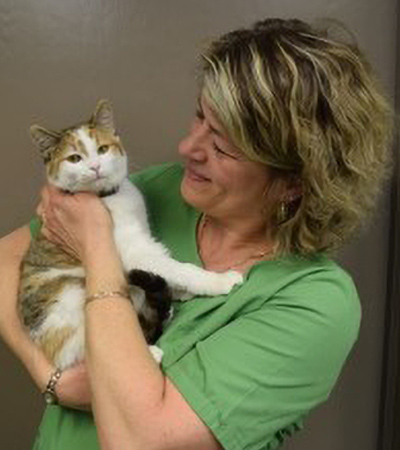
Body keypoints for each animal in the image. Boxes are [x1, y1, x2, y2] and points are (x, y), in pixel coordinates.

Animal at [18, 99, 241, 370]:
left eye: (102, 149)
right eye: (74, 158)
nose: (95, 167)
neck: (112, 197)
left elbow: (167, 268)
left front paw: (181, 288)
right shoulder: (135, 251)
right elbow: (180, 268)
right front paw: (219, 281)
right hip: (68, 296)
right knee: (73, 352)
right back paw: (151, 351)